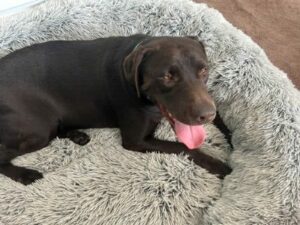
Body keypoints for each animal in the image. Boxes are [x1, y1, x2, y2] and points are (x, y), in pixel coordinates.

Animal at [0, 33, 232, 185]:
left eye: (204, 70)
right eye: (167, 76)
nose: (205, 115)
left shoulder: (208, 101)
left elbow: (222, 120)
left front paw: (232, 141)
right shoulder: (135, 140)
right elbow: (185, 147)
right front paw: (219, 165)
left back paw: (76, 135)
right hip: (37, 131)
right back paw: (25, 175)